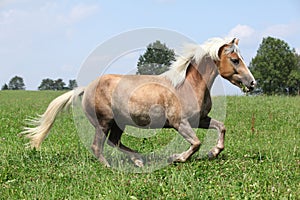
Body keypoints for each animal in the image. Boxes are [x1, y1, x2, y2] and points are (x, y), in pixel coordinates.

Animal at [21, 37, 255, 167]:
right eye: (235, 60)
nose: (252, 83)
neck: (187, 86)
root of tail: (86, 88)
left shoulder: (201, 119)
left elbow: (221, 127)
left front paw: (213, 152)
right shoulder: (180, 123)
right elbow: (196, 143)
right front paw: (176, 158)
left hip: (118, 124)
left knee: (114, 142)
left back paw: (138, 160)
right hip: (104, 122)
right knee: (98, 146)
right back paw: (110, 167)